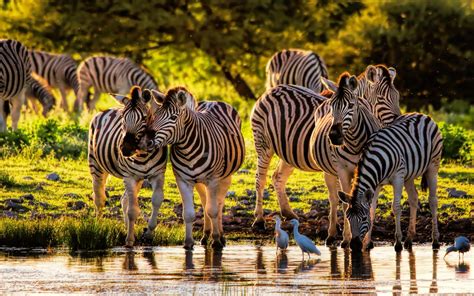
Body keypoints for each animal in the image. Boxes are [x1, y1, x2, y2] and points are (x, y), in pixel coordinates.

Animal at [88, 86, 168, 247]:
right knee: (99, 198)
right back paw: (98, 226)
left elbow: (156, 200)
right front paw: (129, 241)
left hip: (137, 179)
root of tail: (105, 110)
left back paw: (126, 227)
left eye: (144, 117)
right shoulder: (129, 176)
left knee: (124, 199)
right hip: (96, 165)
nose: (125, 149)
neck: (143, 153)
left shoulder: (158, 174)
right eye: (123, 118)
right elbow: (132, 210)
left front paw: (148, 233)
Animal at [138, 86, 244, 250]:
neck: (187, 149)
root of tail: (213, 101)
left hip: (226, 176)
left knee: (218, 203)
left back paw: (220, 236)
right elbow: (188, 214)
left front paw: (216, 241)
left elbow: (213, 210)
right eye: (155, 115)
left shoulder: (213, 179)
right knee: (205, 201)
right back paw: (205, 235)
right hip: (199, 181)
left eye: (173, 118)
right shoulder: (183, 180)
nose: (144, 142)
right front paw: (188, 243)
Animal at [336, 112, 444, 251]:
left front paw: (397, 243)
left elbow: (396, 207)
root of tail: (422, 114)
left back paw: (435, 240)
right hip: (408, 175)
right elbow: (372, 209)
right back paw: (409, 239)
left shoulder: (398, 177)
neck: (377, 160)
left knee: (433, 201)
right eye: (348, 218)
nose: (354, 246)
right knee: (414, 198)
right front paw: (367, 244)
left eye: (363, 218)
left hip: (433, 165)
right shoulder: (376, 184)